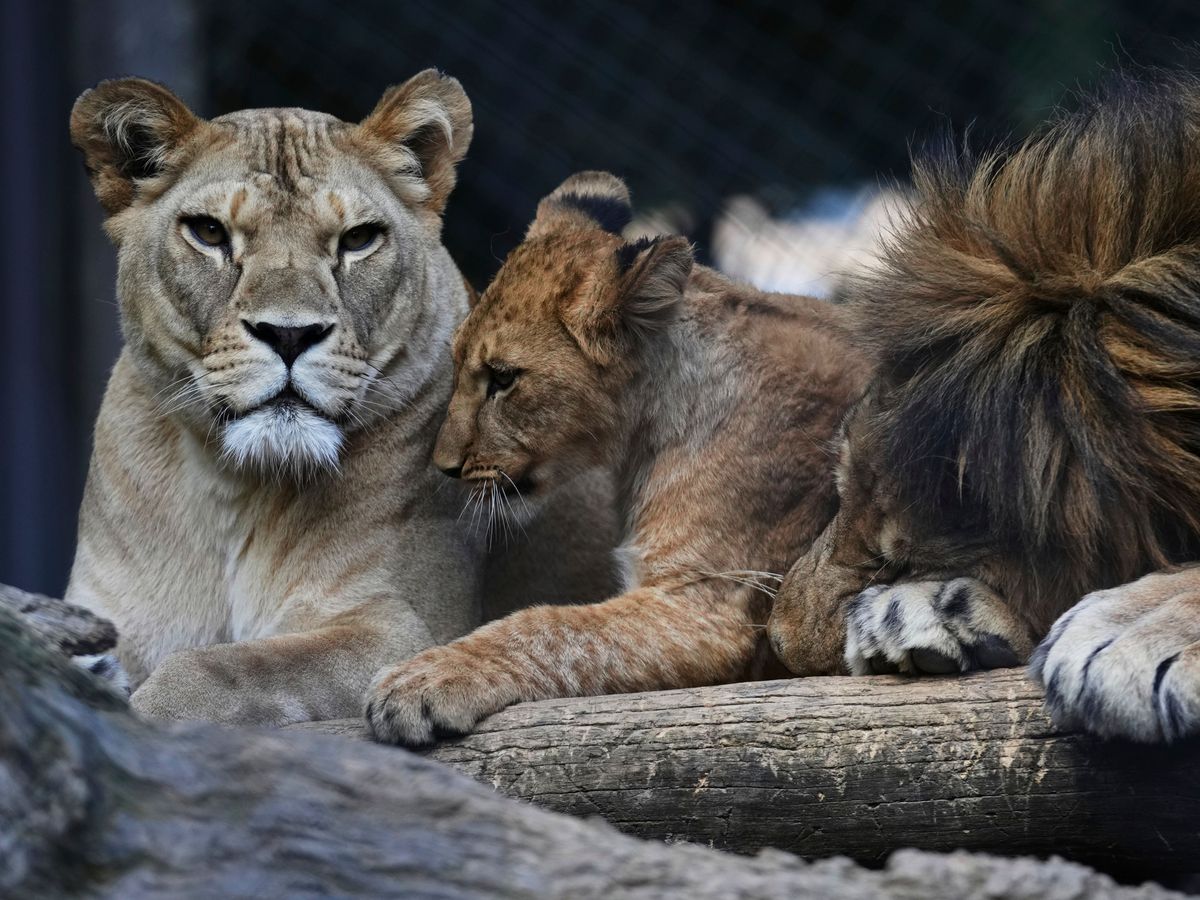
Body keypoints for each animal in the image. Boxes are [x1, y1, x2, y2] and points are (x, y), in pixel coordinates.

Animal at [66, 74, 618, 726]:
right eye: (208, 233)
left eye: (358, 240)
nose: (289, 334)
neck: (234, 488)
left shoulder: (405, 630)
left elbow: (228, 667)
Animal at [365, 171, 871, 746]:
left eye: (503, 378)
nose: (444, 466)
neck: (646, 428)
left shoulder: (706, 608)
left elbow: (550, 626)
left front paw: (421, 679)